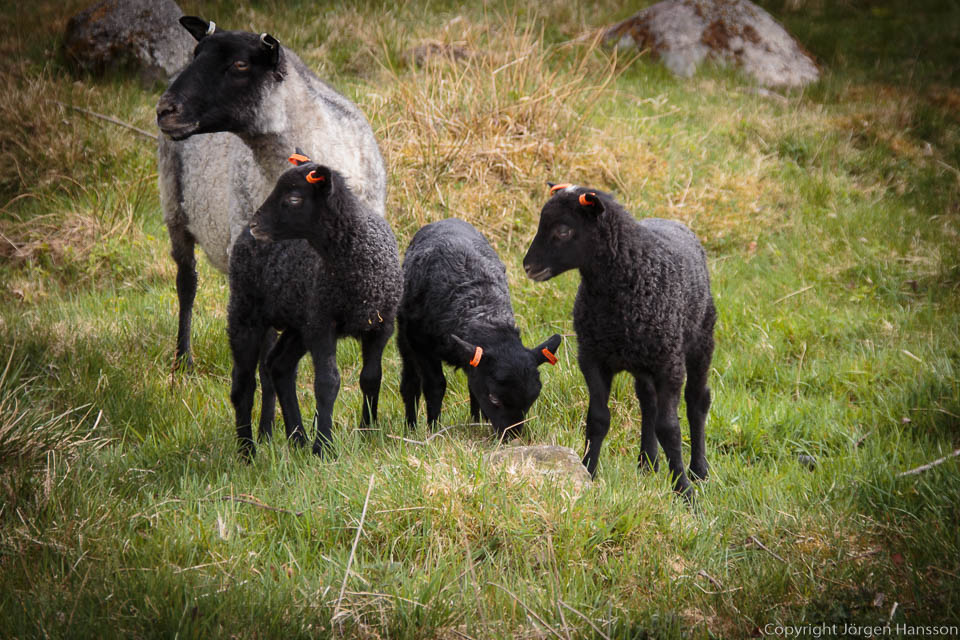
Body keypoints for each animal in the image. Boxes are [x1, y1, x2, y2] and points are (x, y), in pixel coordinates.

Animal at [156, 17, 384, 372]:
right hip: (174, 206)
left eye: (240, 65)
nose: (165, 110)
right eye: (197, 54)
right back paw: (183, 361)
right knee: (187, 282)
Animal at [229, 156, 402, 460]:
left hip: (299, 321)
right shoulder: (322, 324)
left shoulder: (381, 325)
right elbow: (327, 383)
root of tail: (241, 238)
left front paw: (368, 432)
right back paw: (247, 452)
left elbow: (371, 377)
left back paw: (297, 438)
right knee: (243, 384)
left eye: (294, 199)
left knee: (279, 366)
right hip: (246, 312)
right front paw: (324, 448)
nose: (255, 225)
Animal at [398, 218, 564, 438]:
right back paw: (410, 427)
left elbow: (473, 385)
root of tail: (447, 220)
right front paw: (434, 429)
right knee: (411, 382)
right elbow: (435, 385)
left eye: (532, 399)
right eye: (494, 398)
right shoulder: (420, 344)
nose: (511, 437)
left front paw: (478, 423)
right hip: (404, 337)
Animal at [520, 182, 716, 498]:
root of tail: (672, 221)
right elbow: (598, 419)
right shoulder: (592, 358)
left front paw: (684, 491)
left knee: (697, 401)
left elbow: (670, 428)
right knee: (648, 402)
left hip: (700, 341)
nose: (529, 266)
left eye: (563, 230)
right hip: (643, 360)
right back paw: (647, 463)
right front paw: (587, 472)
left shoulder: (669, 365)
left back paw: (699, 470)